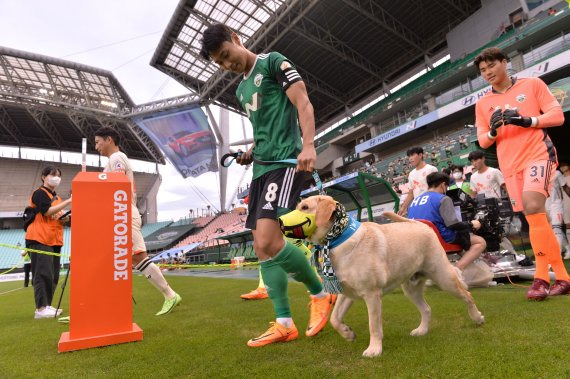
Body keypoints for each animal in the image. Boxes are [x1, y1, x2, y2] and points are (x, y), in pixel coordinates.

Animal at [296, 197, 482, 358]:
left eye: (305, 207)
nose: (285, 222)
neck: (338, 239)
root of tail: (419, 224)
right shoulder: (347, 293)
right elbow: (334, 318)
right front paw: (348, 333)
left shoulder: (371, 294)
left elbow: (373, 325)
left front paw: (374, 349)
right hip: (411, 289)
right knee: (427, 309)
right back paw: (421, 330)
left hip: (444, 278)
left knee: (467, 295)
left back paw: (477, 317)